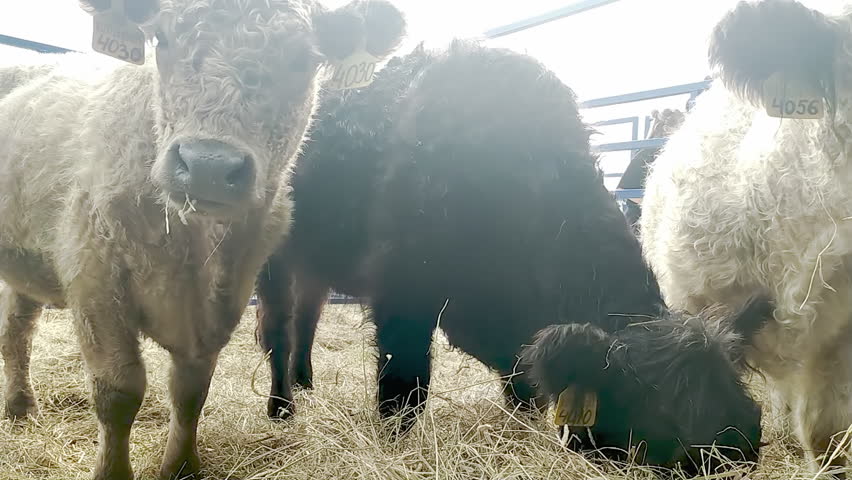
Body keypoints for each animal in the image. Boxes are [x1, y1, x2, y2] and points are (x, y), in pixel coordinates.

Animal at [0, 1, 405, 479]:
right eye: (163, 39)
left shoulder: (228, 292)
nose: (209, 165)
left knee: (18, 328)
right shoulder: (94, 277)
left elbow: (192, 388)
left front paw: (182, 466)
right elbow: (119, 390)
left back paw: (21, 407)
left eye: (302, 59)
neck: (192, 246)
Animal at [254, 40, 769, 472]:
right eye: (675, 447)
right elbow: (404, 389)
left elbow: (524, 386)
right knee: (278, 329)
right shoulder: (404, 296)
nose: (737, 447)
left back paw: (305, 383)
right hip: (272, 254)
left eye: (751, 422)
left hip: (316, 262)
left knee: (307, 318)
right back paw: (282, 408)